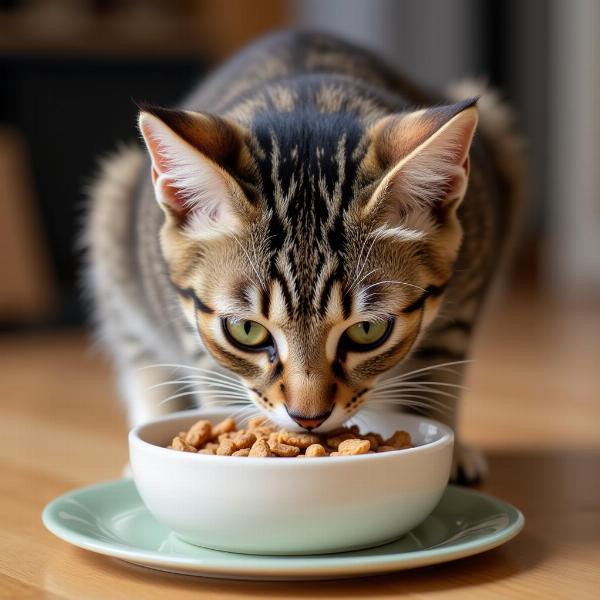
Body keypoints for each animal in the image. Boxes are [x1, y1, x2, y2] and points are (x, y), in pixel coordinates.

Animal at [84, 30, 520, 486]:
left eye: (368, 330)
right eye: (245, 330)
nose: (308, 419)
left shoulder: (467, 291)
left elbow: (438, 375)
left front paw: (448, 455)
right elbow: (206, 377)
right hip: (113, 213)